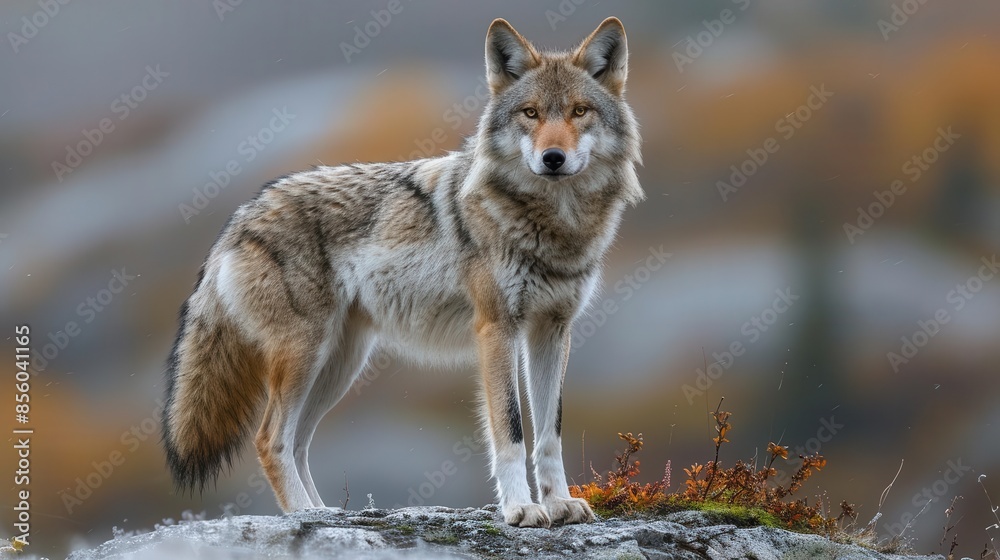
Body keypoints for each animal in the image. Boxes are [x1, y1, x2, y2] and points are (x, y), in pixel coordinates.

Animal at [162, 17, 642, 528]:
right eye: (530, 113)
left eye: (579, 111)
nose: (553, 158)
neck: (554, 224)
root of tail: (241, 216)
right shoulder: (497, 329)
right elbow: (510, 431)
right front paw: (520, 509)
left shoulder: (552, 331)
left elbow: (550, 433)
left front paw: (558, 503)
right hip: (305, 356)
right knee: (270, 440)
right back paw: (303, 517)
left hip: (338, 365)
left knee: (297, 442)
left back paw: (324, 514)